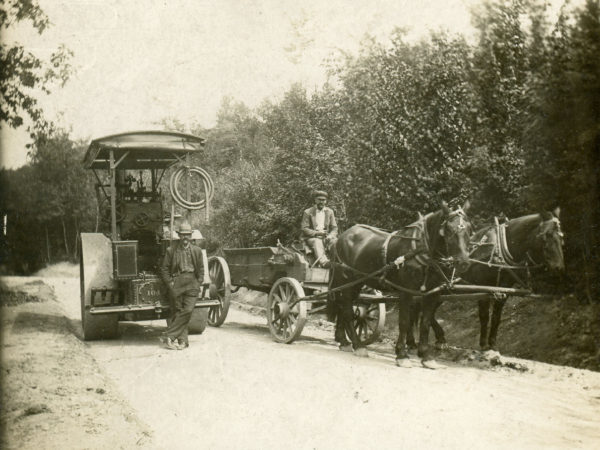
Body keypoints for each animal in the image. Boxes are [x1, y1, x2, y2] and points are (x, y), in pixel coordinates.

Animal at [328, 201, 474, 370]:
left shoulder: (432, 293)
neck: (422, 251)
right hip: (346, 280)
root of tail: (341, 237)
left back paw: (344, 341)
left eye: (469, 228)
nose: (463, 262)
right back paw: (358, 345)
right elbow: (404, 322)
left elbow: (425, 323)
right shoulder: (406, 291)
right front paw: (402, 355)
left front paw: (426, 356)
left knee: (343, 306)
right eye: (449, 230)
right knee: (346, 308)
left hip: (357, 282)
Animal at [410, 207, 564, 352]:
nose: (559, 267)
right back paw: (429, 339)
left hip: (442, 290)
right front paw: (483, 344)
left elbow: (496, 317)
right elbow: (484, 316)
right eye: (546, 236)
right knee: (420, 308)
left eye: (562, 237)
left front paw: (493, 344)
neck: (499, 249)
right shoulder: (483, 287)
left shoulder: (503, 289)